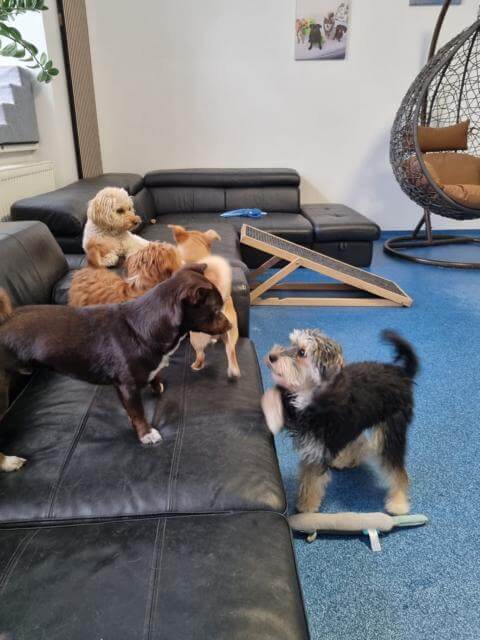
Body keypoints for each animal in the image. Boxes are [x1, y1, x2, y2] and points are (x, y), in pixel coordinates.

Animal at [0, 265, 231, 468]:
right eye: (215, 310)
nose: (230, 325)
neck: (145, 326)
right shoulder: (127, 387)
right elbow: (138, 412)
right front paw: (146, 434)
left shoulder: (124, 388)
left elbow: (141, 398)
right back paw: (8, 462)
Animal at [170, 225, 240, 378]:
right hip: (231, 334)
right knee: (231, 351)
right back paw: (233, 371)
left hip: (195, 338)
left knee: (201, 356)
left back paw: (196, 366)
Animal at [262, 329, 419, 515]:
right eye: (291, 343)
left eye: (302, 352)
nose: (272, 356)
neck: (311, 392)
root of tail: (402, 374)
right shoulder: (300, 420)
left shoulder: (317, 447)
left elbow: (311, 481)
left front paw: (307, 507)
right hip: (355, 422)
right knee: (361, 442)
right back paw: (346, 460)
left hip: (390, 431)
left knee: (397, 469)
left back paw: (399, 502)